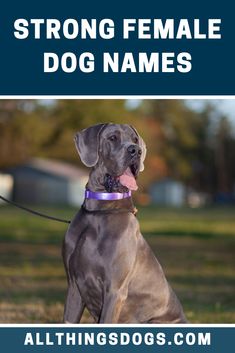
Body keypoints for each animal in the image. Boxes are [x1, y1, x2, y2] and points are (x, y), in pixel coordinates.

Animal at [62, 123, 187, 322]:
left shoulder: (115, 290)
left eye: (135, 140)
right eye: (113, 138)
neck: (99, 213)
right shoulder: (74, 286)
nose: (136, 150)